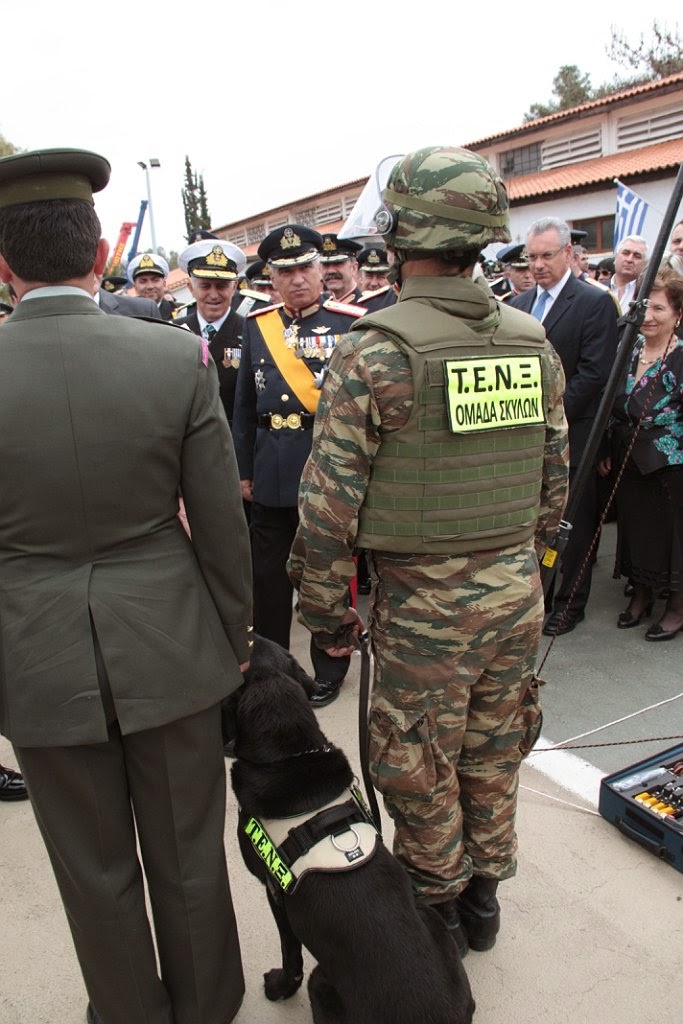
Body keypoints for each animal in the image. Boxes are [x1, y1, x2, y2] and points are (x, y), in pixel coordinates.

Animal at [229, 634, 475, 1019]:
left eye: (249, 641)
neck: (290, 757)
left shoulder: (276, 893)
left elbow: (290, 953)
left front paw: (280, 987)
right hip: (430, 918)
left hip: (321, 982)